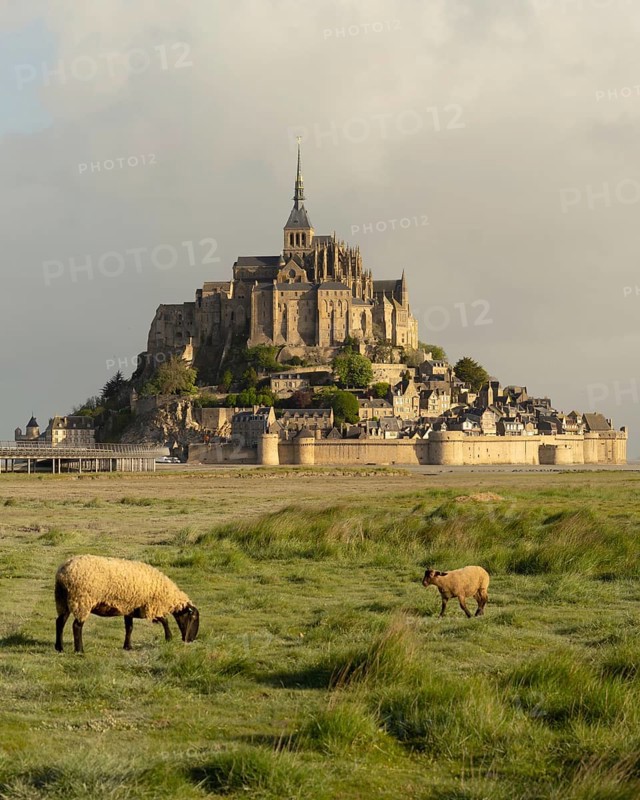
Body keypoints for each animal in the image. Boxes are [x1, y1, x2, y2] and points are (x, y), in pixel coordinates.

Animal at [54, 555, 199, 653]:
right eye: (193, 617)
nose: (191, 640)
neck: (167, 595)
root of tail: (62, 573)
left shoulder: (130, 608)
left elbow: (129, 628)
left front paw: (127, 646)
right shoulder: (148, 607)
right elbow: (165, 620)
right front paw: (169, 638)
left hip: (63, 600)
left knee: (60, 622)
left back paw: (59, 647)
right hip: (82, 601)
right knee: (76, 626)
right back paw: (79, 650)